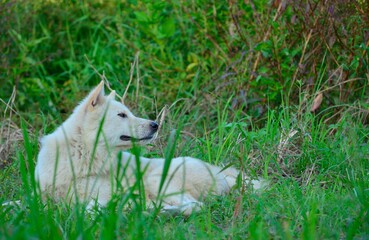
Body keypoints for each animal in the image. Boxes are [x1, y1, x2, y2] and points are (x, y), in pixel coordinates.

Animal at [34, 81, 264, 215]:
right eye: (122, 115)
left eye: (128, 112)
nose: (156, 125)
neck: (81, 155)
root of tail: (223, 173)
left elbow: (90, 207)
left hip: (157, 180)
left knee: (193, 206)